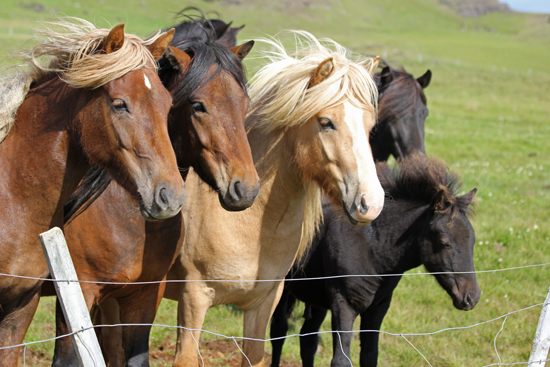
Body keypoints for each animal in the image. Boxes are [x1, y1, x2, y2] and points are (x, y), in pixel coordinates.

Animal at [164, 31, 386, 367]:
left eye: (370, 125)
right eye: (326, 122)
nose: (370, 202)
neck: (250, 225)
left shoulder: (263, 304)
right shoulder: (193, 299)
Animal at [272, 154, 484, 366]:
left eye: (472, 241)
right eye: (444, 242)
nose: (471, 297)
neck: (372, 249)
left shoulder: (378, 307)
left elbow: (369, 355)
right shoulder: (343, 304)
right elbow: (341, 360)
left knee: (308, 339)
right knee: (279, 330)